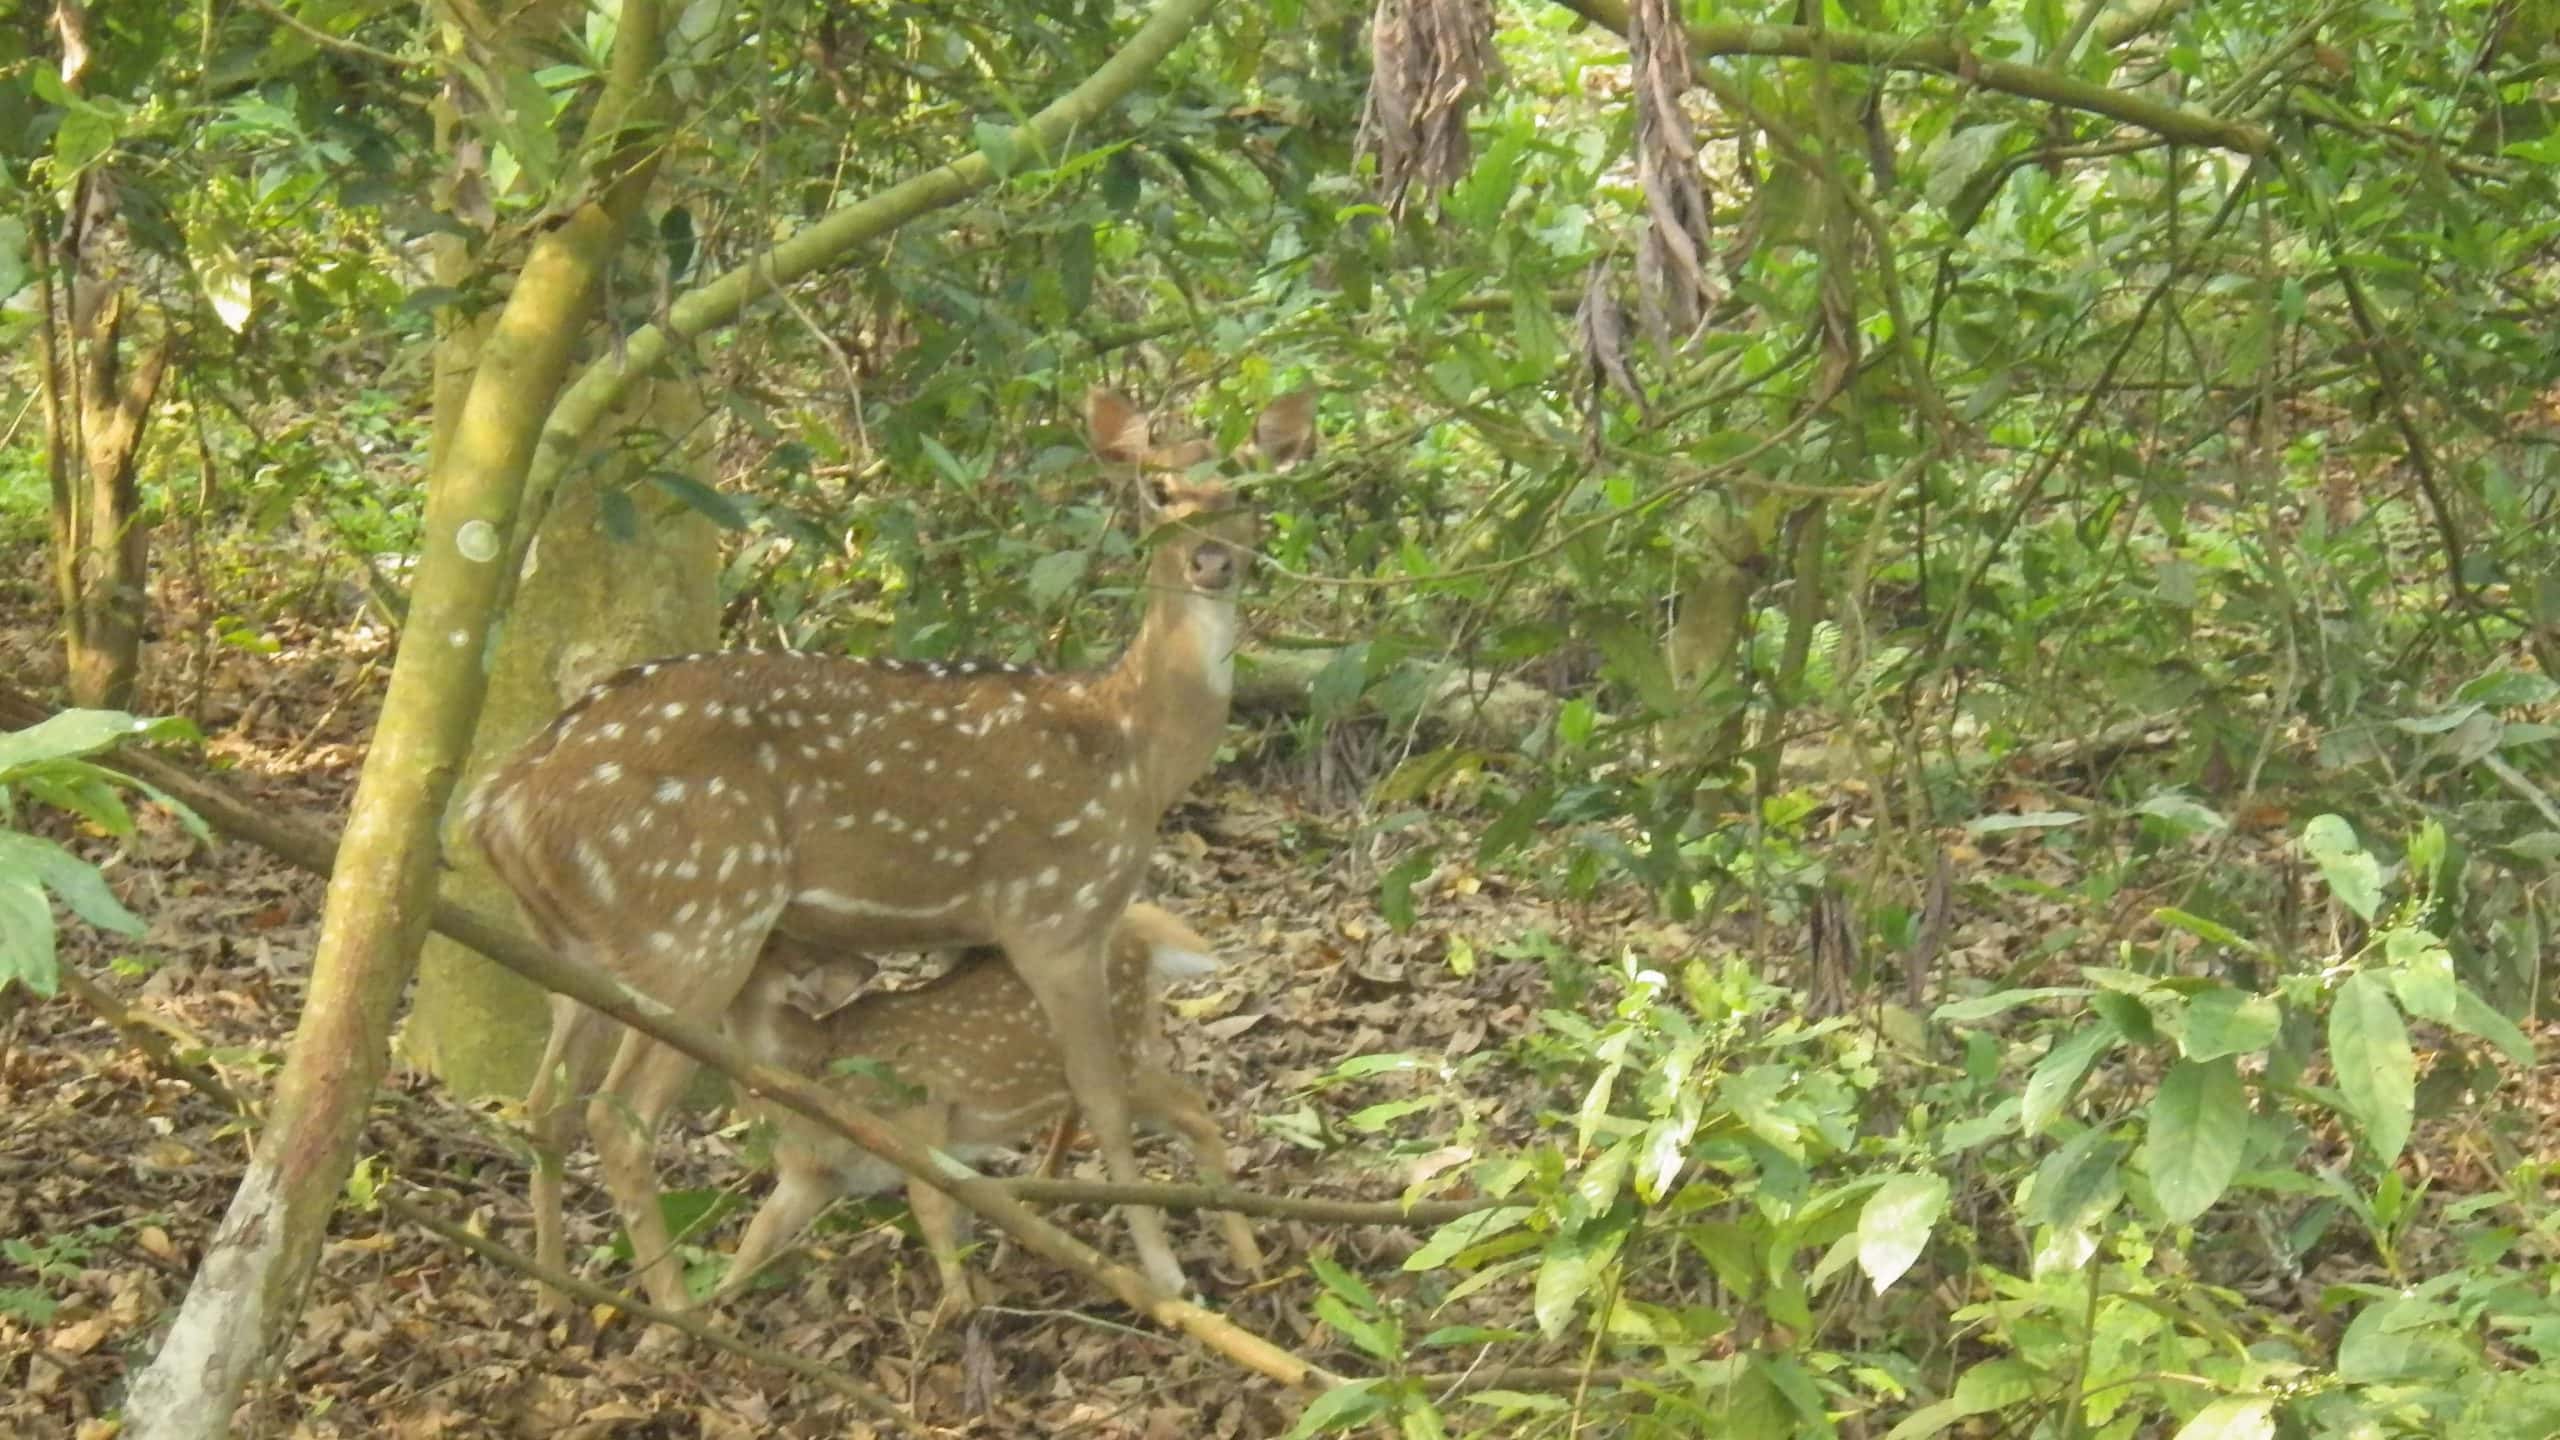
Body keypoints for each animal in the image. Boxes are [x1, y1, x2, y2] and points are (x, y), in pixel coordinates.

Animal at [713, 901, 1265, 1316]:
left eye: (757, 947)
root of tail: (1143, 930)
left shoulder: (922, 1114)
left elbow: (930, 1206)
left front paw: (955, 1306)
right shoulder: (811, 1174)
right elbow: (758, 1235)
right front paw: (703, 1313)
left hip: (1126, 1051)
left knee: (1193, 1109)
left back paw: (1245, 1260)